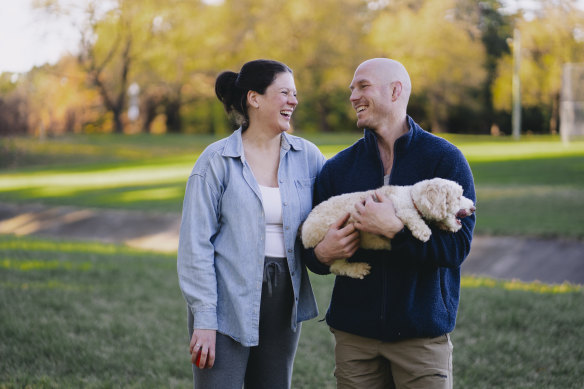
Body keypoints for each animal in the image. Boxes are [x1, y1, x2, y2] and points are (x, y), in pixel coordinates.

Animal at [302, 177, 474, 278]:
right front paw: (423, 231)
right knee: (337, 267)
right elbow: (409, 214)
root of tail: (303, 230)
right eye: (458, 196)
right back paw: (358, 269)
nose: (474, 208)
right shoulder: (397, 207)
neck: (411, 196)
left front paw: (443, 225)